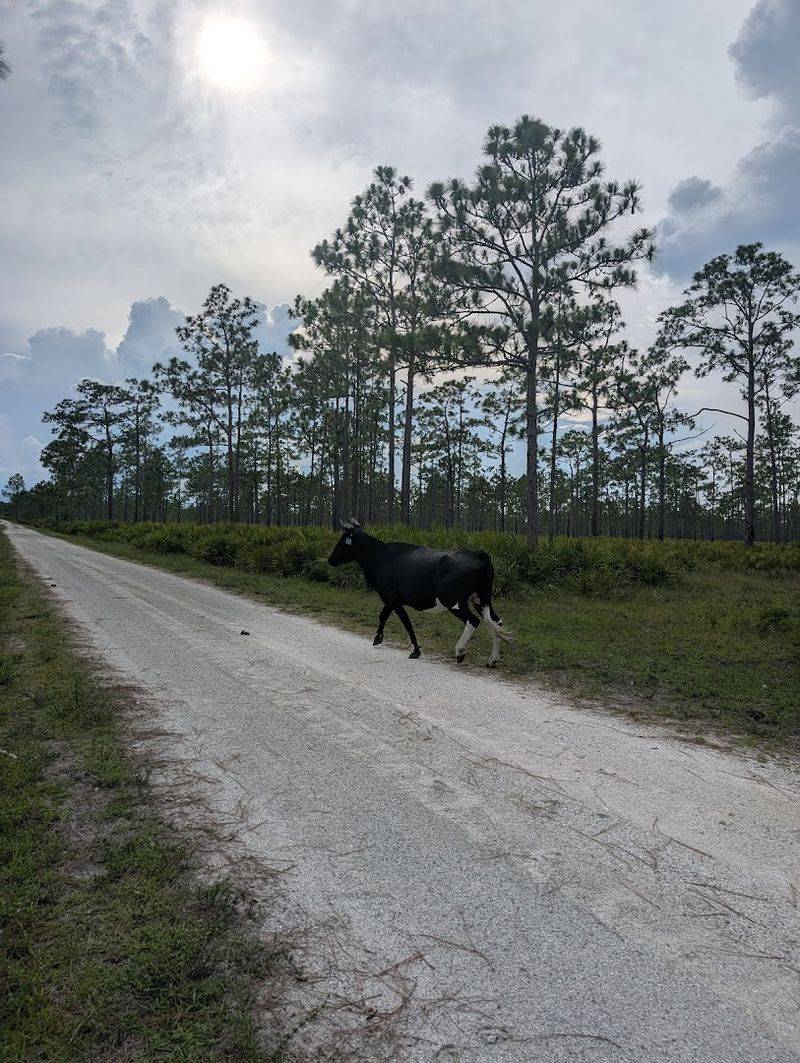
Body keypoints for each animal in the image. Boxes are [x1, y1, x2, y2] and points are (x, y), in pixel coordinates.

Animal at [327, 518, 512, 666]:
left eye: (342, 540)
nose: (330, 560)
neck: (379, 556)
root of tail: (479, 554)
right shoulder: (391, 598)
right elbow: (383, 616)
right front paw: (378, 638)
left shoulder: (392, 598)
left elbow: (406, 623)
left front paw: (415, 650)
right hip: (482, 599)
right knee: (496, 622)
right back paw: (493, 659)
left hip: (454, 602)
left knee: (473, 621)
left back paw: (459, 651)